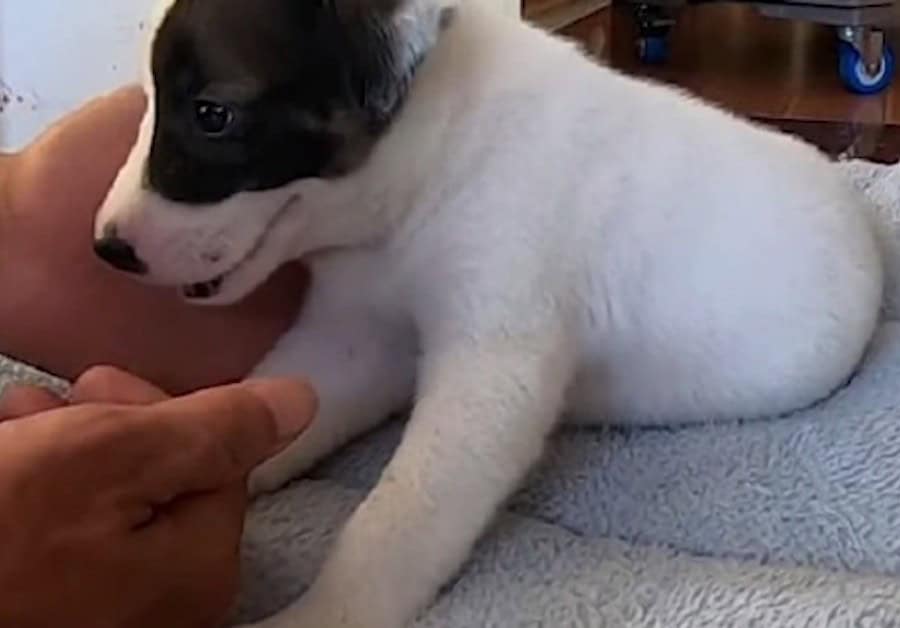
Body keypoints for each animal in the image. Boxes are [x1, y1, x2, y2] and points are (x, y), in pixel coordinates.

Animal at [93, 0, 884, 625]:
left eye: (212, 115)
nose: (108, 249)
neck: (436, 153)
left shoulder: (494, 361)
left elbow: (397, 517)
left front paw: (323, 615)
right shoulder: (356, 338)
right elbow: (278, 404)